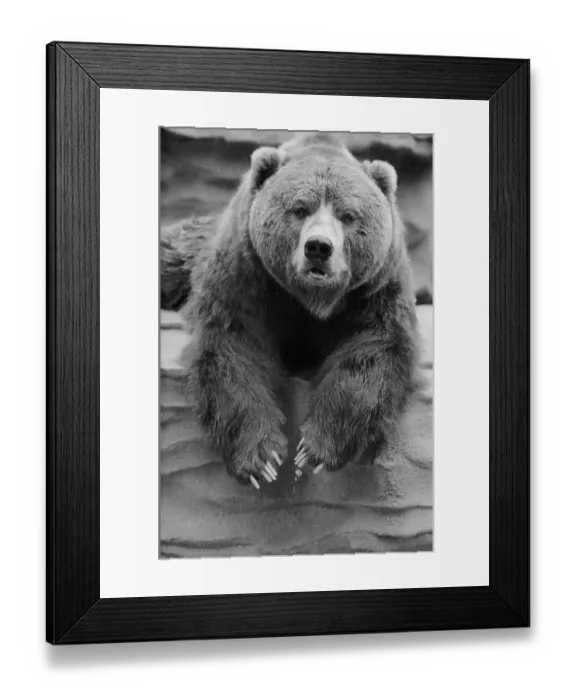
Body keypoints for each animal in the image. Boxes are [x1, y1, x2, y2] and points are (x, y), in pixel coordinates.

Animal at [163, 133, 420, 487]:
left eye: (347, 214)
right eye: (300, 208)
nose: (319, 247)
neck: (310, 300)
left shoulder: (375, 290)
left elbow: (371, 352)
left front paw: (314, 450)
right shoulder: (245, 277)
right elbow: (234, 348)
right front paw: (262, 460)